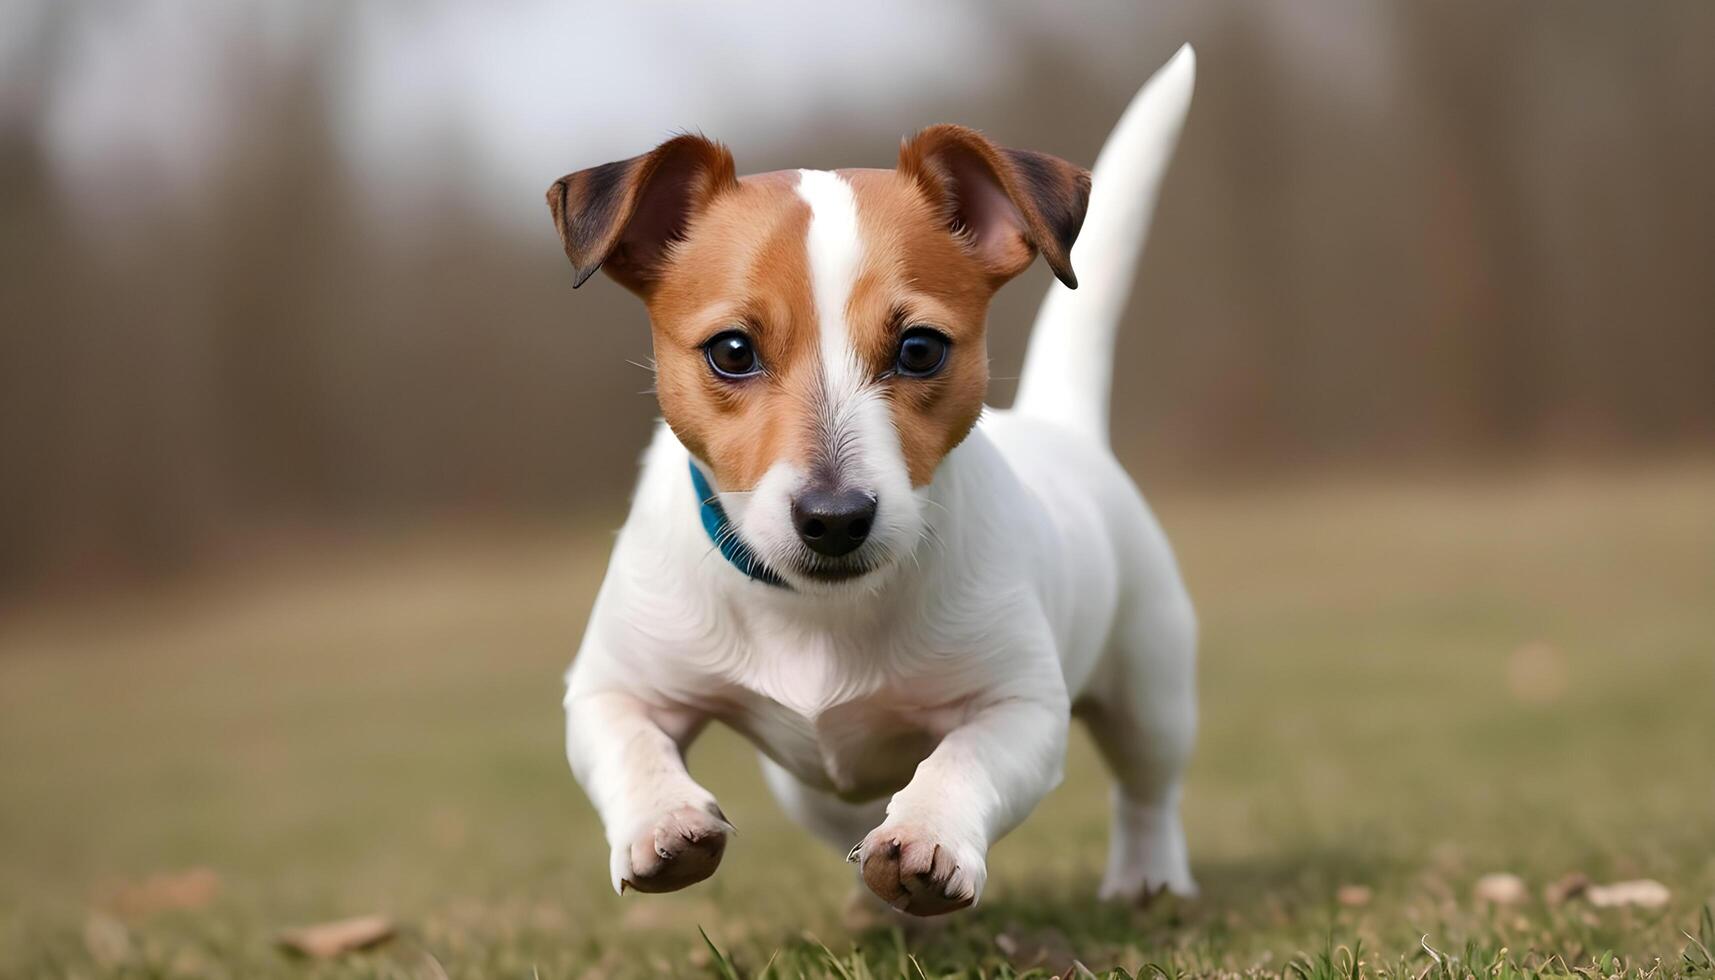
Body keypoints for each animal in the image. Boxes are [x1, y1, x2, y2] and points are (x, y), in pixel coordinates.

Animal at [545, 47, 1193, 919]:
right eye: (731, 350)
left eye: (919, 349)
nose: (833, 518)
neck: (820, 611)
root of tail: (1061, 423)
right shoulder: (612, 687)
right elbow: (631, 745)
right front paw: (664, 820)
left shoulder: (1018, 705)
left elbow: (962, 760)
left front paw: (925, 836)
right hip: (808, 789)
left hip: (1149, 686)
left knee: (1146, 788)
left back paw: (1147, 877)